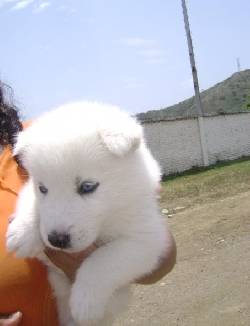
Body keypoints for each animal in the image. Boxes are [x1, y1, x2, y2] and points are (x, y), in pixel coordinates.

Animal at [6, 102, 169, 326]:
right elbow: (29, 198)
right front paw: (22, 234)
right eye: (43, 188)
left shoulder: (146, 239)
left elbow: (103, 259)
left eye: (87, 187)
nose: (56, 239)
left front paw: (85, 301)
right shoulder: (30, 186)